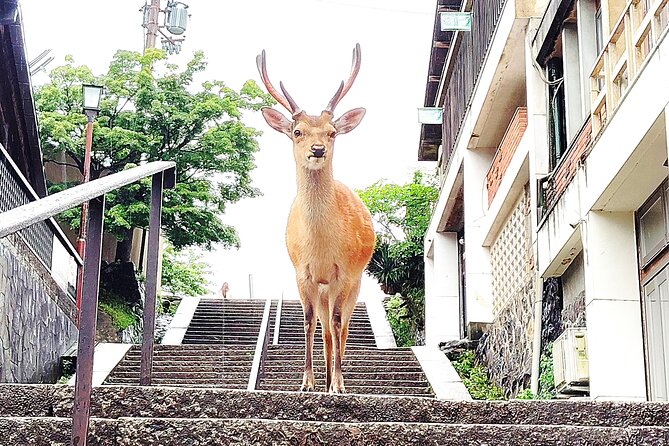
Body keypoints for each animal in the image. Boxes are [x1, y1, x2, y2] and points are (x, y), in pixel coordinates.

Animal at [256, 44, 375, 393]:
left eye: (333, 132)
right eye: (297, 132)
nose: (318, 149)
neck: (321, 247)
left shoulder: (344, 272)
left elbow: (337, 324)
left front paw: (338, 384)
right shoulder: (302, 272)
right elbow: (308, 323)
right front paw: (306, 382)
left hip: (354, 284)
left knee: (342, 329)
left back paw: (337, 379)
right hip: (323, 289)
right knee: (324, 330)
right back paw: (324, 379)